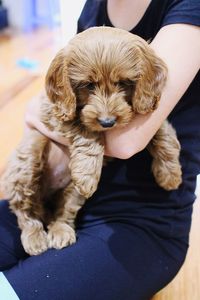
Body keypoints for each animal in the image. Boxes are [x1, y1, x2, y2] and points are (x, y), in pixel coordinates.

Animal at [0, 26, 182, 255]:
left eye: (123, 83)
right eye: (88, 85)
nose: (107, 122)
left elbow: (161, 131)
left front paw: (169, 174)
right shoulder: (54, 112)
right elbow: (86, 129)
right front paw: (87, 174)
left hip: (71, 192)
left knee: (64, 210)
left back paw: (61, 230)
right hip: (28, 157)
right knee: (24, 208)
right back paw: (34, 236)